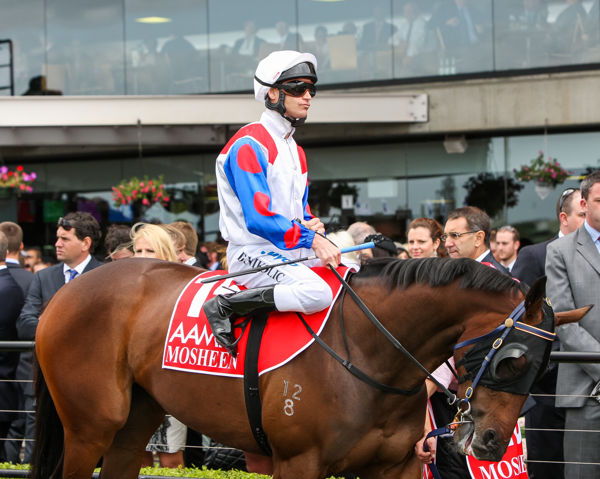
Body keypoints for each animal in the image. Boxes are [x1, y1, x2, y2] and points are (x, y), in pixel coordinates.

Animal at [31, 256, 588, 479]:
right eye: (513, 361)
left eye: (545, 370)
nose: (493, 443)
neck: (368, 354)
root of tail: (68, 290)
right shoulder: (297, 463)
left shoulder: (398, 465)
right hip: (90, 426)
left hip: (136, 422)